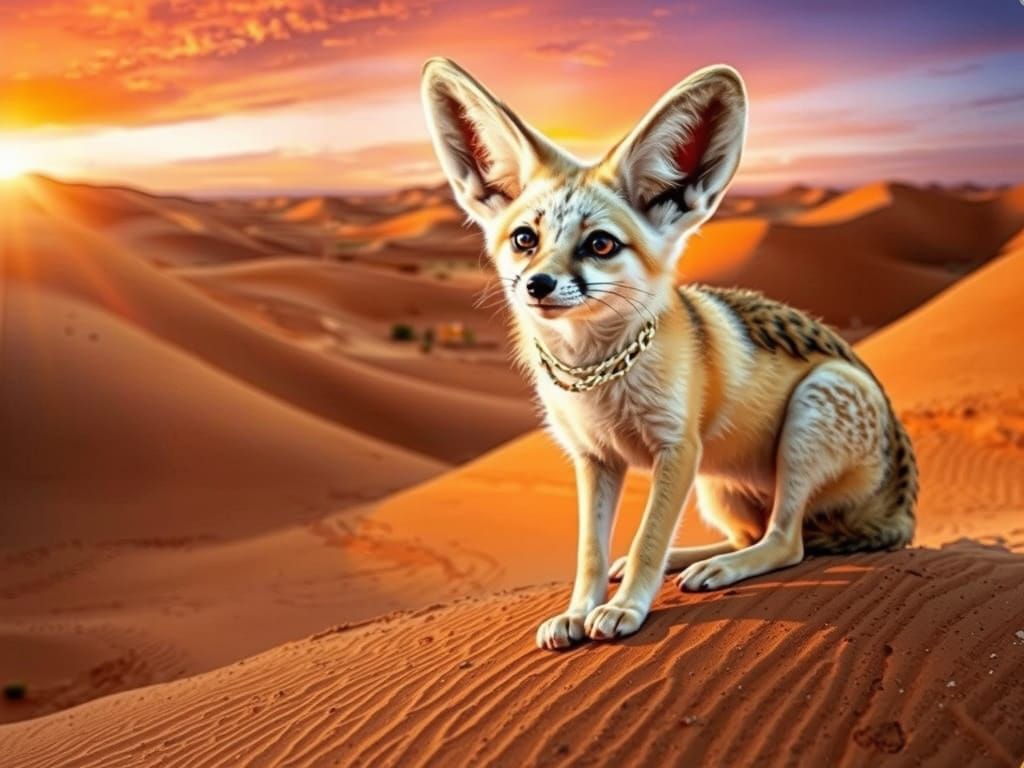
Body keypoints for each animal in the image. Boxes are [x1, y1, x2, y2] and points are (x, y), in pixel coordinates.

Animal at [420, 58, 918, 650]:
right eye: (524, 239)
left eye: (601, 245)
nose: (537, 285)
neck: (599, 377)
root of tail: (902, 509)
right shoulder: (594, 458)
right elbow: (591, 552)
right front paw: (578, 610)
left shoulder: (677, 450)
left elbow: (647, 540)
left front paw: (624, 609)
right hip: (721, 489)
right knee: (752, 534)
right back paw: (697, 561)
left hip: (813, 407)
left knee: (786, 541)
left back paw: (719, 568)